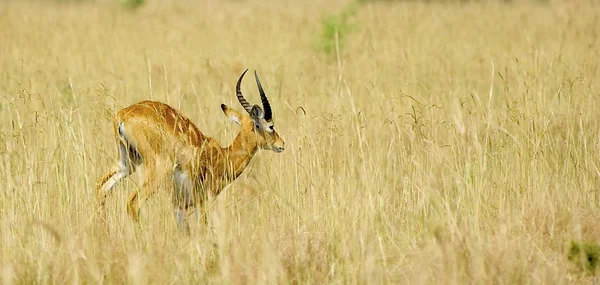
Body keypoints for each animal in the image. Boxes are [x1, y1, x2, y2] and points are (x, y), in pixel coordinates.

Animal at [96, 69, 286, 231]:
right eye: (270, 126)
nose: (281, 144)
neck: (222, 156)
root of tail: (124, 115)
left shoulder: (179, 206)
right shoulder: (202, 202)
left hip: (128, 161)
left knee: (101, 187)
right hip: (157, 170)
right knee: (133, 202)